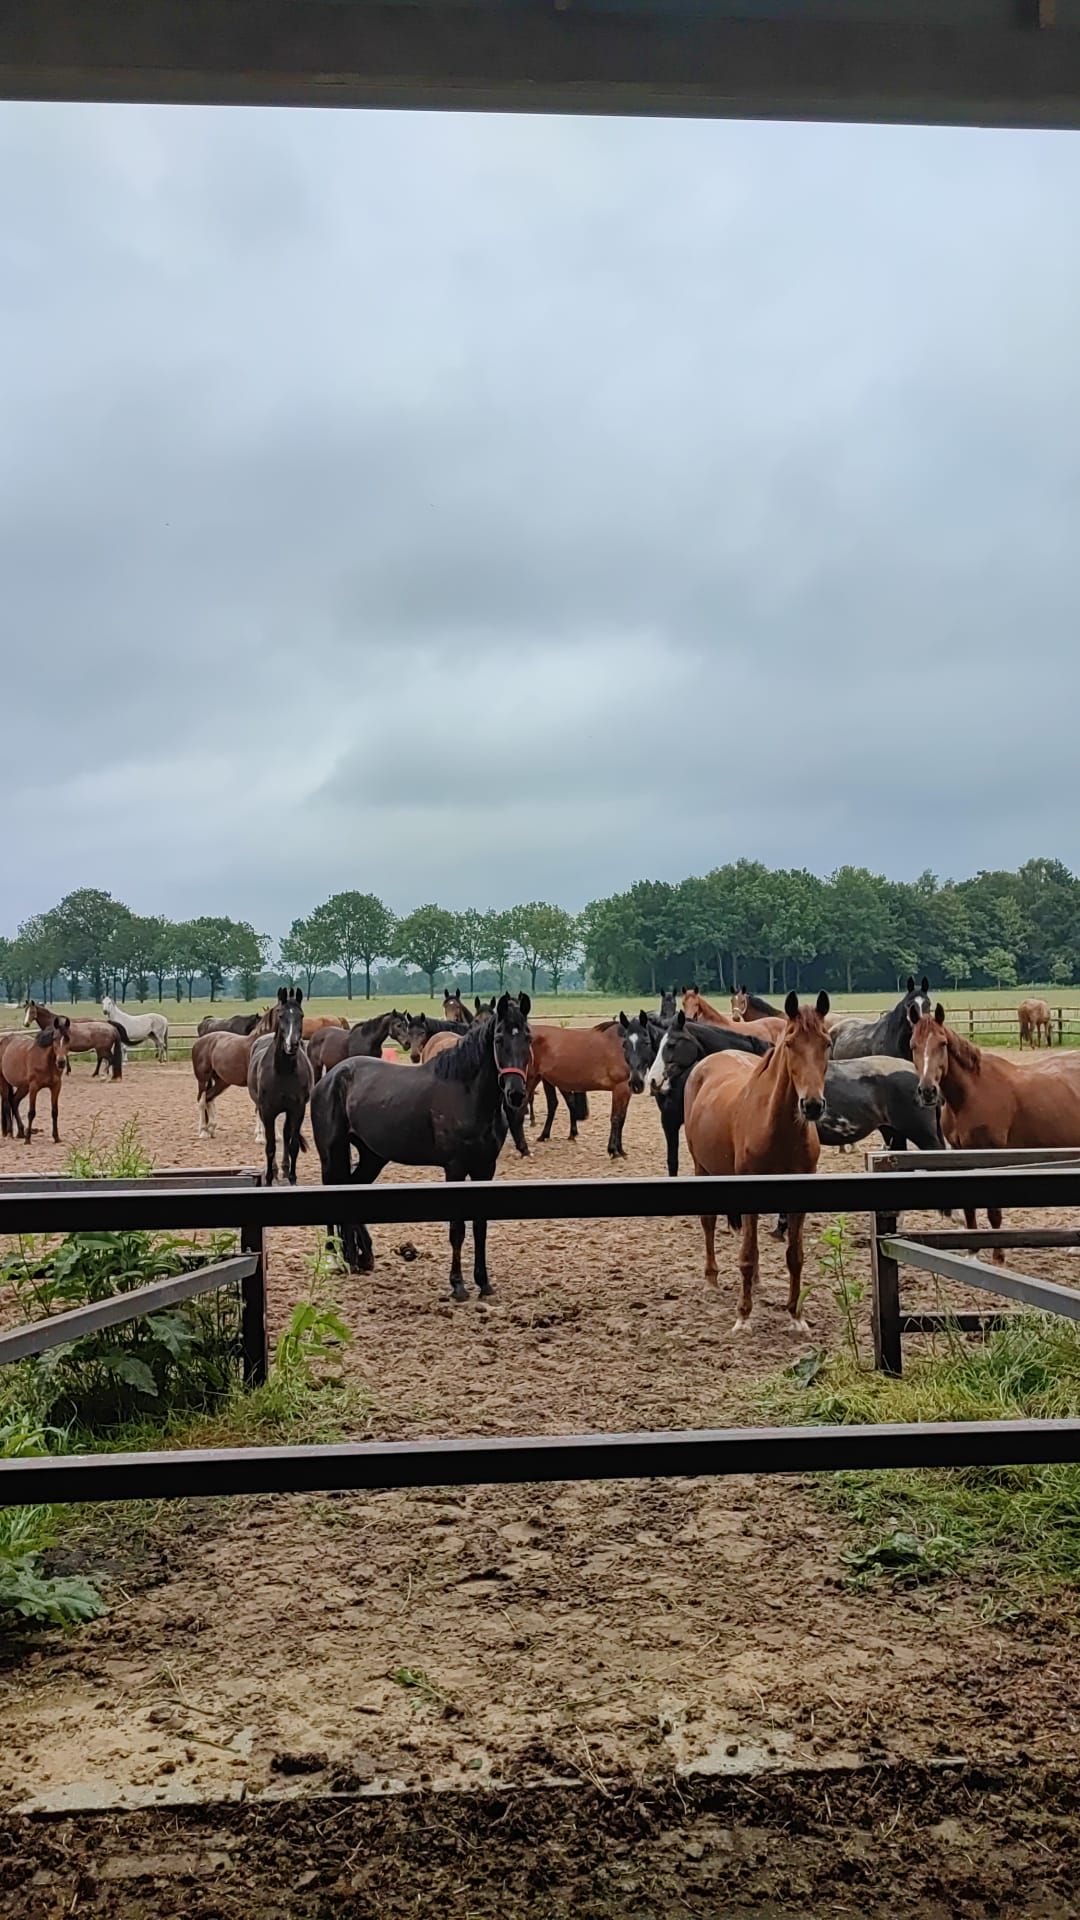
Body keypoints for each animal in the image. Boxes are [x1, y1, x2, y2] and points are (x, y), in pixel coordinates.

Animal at [247, 988, 313, 1186]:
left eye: (301, 1015)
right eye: (281, 1015)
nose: (292, 1044)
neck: (283, 1071)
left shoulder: (297, 1109)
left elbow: (293, 1145)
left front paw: (292, 1178)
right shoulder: (267, 1110)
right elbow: (270, 1146)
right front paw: (268, 1179)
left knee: (285, 1135)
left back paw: (284, 1169)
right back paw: (276, 1171)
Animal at [311, 992, 533, 1297]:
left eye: (528, 1038)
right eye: (499, 1039)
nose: (516, 1094)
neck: (467, 1093)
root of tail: (330, 1078)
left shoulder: (485, 1168)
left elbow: (480, 1226)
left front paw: (483, 1282)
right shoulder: (455, 1168)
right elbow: (457, 1229)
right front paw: (458, 1285)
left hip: (372, 1156)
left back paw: (358, 1257)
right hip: (331, 1153)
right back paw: (335, 1257)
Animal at [683, 991, 832, 1332]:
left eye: (827, 1043)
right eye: (789, 1044)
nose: (812, 1106)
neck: (777, 1128)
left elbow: (794, 1255)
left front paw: (795, 1315)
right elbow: (747, 1255)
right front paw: (743, 1316)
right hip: (702, 1167)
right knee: (709, 1223)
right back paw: (711, 1279)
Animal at [909, 1002, 1080, 1256]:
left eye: (942, 1043)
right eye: (913, 1045)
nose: (928, 1091)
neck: (971, 1093)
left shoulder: (990, 1155)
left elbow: (994, 1213)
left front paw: (998, 1256)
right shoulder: (961, 1154)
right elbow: (969, 1209)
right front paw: (972, 1251)